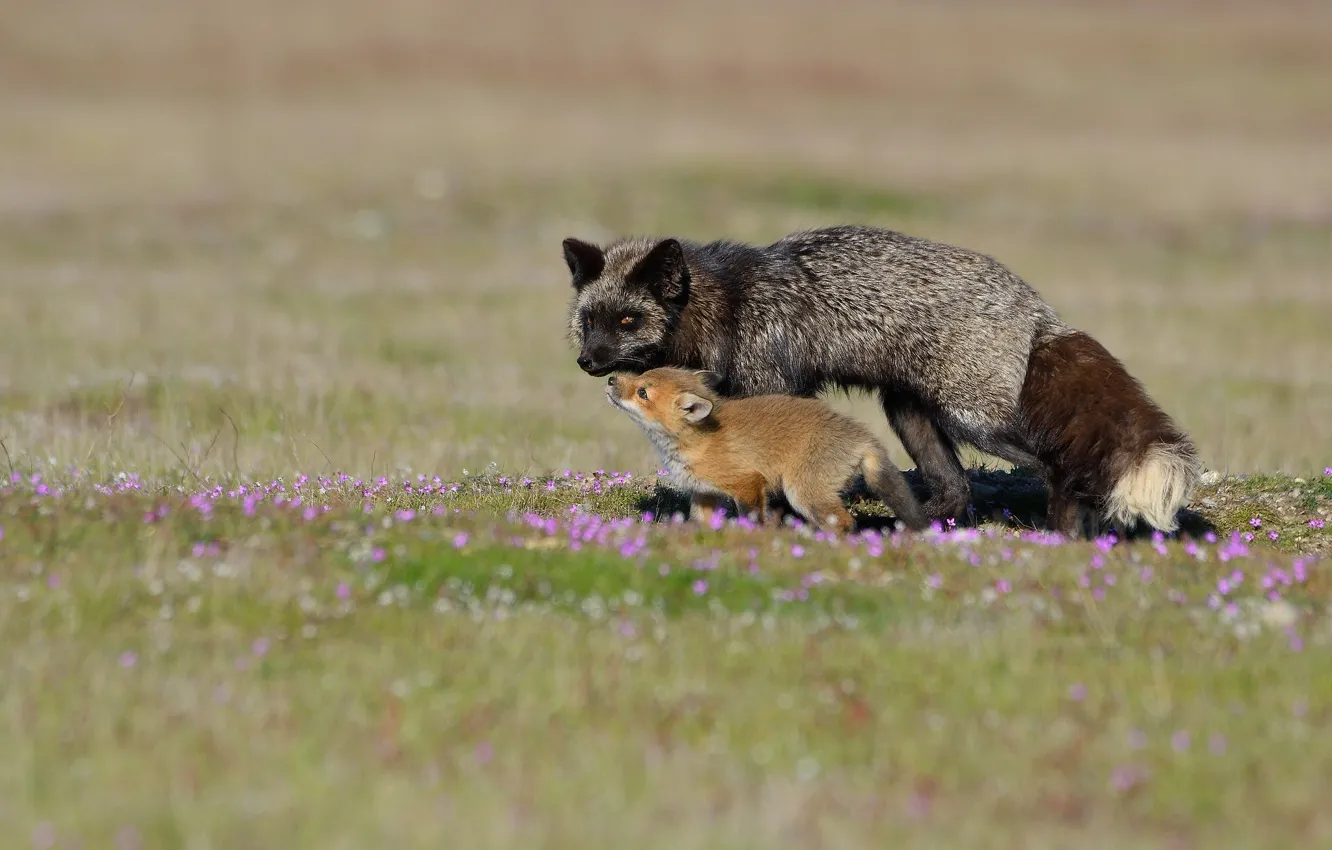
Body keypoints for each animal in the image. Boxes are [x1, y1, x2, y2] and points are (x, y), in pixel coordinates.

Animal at [605, 367, 929, 534]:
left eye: (643, 392)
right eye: (641, 375)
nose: (610, 379)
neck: (697, 443)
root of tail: (863, 437)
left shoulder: (749, 483)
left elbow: (751, 520)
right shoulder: (704, 494)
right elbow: (700, 523)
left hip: (803, 493)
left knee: (846, 523)